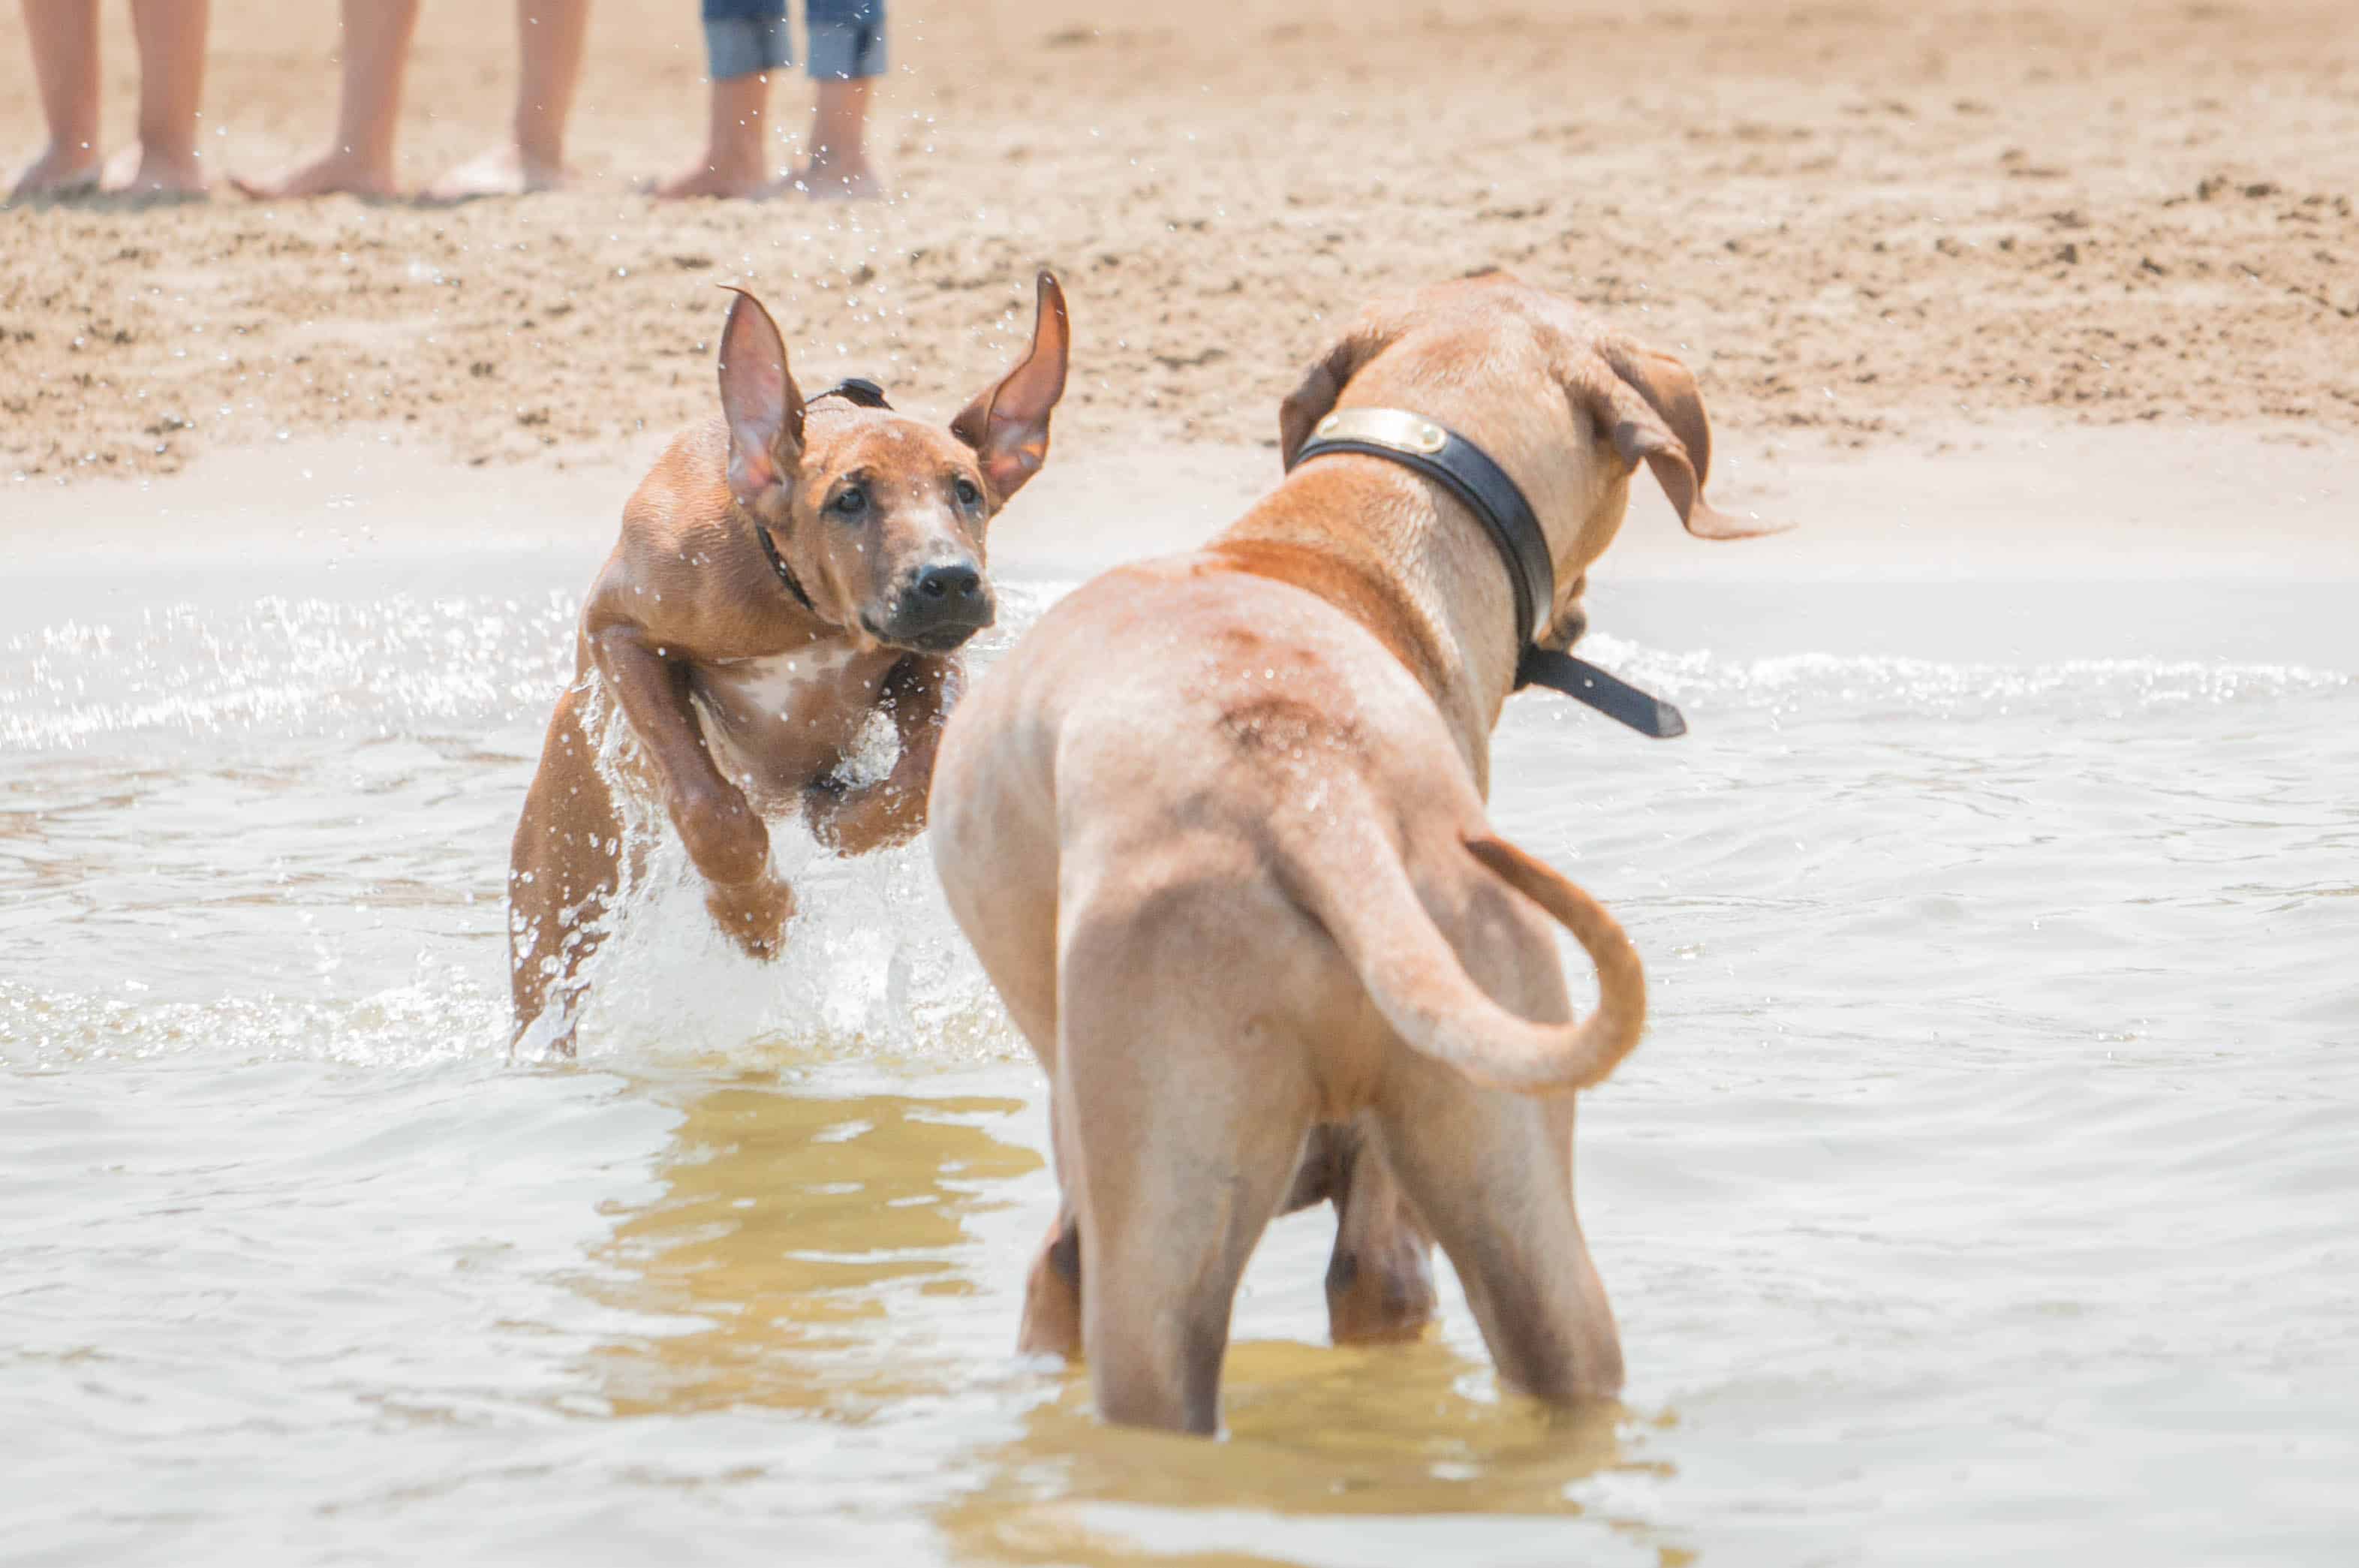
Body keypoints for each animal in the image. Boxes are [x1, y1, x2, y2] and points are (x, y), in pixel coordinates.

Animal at [519, 272, 1080, 1052]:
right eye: (849, 498)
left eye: (965, 491)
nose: (949, 580)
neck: (798, 606)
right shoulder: (620, 628)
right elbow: (708, 804)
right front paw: (755, 916)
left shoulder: (923, 659)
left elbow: (918, 776)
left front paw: (837, 815)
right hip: (566, 870)